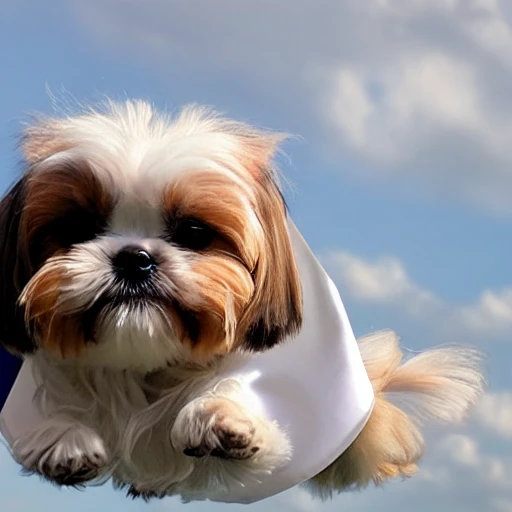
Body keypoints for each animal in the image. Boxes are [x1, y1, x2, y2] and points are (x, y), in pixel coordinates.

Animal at [0, 99, 484, 500]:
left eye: (194, 232)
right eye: (77, 227)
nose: (135, 258)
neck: (147, 364)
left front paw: (219, 416)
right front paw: (62, 436)